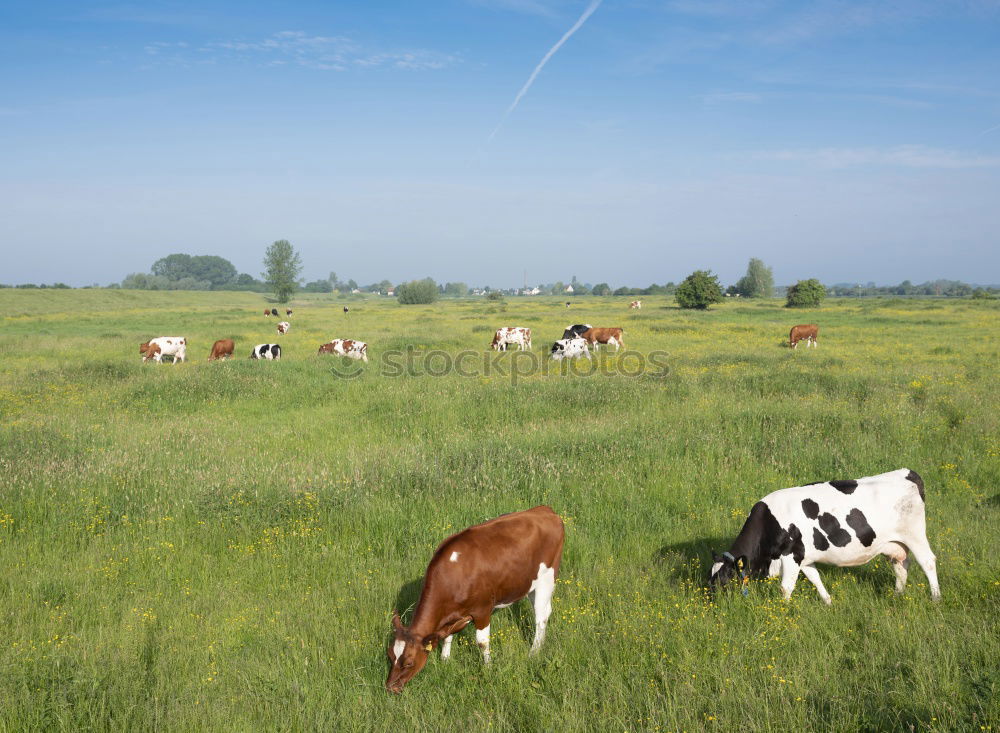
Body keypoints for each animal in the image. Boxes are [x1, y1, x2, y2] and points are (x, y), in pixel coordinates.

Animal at [386, 506, 568, 688]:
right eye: (391, 655)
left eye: (409, 663)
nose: (390, 687)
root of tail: (544, 510)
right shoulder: (452, 615)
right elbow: (448, 635)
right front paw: (445, 660)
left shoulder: (482, 610)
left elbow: (482, 642)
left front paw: (488, 668)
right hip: (529, 583)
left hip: (547, 577)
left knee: (541, 617)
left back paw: (534, 652)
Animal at [712, 472, 936, 604]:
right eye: (710, 577)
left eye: (726, 577)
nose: (713, 599)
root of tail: (908, 473)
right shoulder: (804, 557)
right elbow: (815, 578)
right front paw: (828, 601)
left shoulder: (791, 555)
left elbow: (786, 587)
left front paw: (783, 611)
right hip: (893, 543)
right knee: (901, 565)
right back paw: (897, 595)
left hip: (915, 535)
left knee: (928, 563)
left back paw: (936, 598)